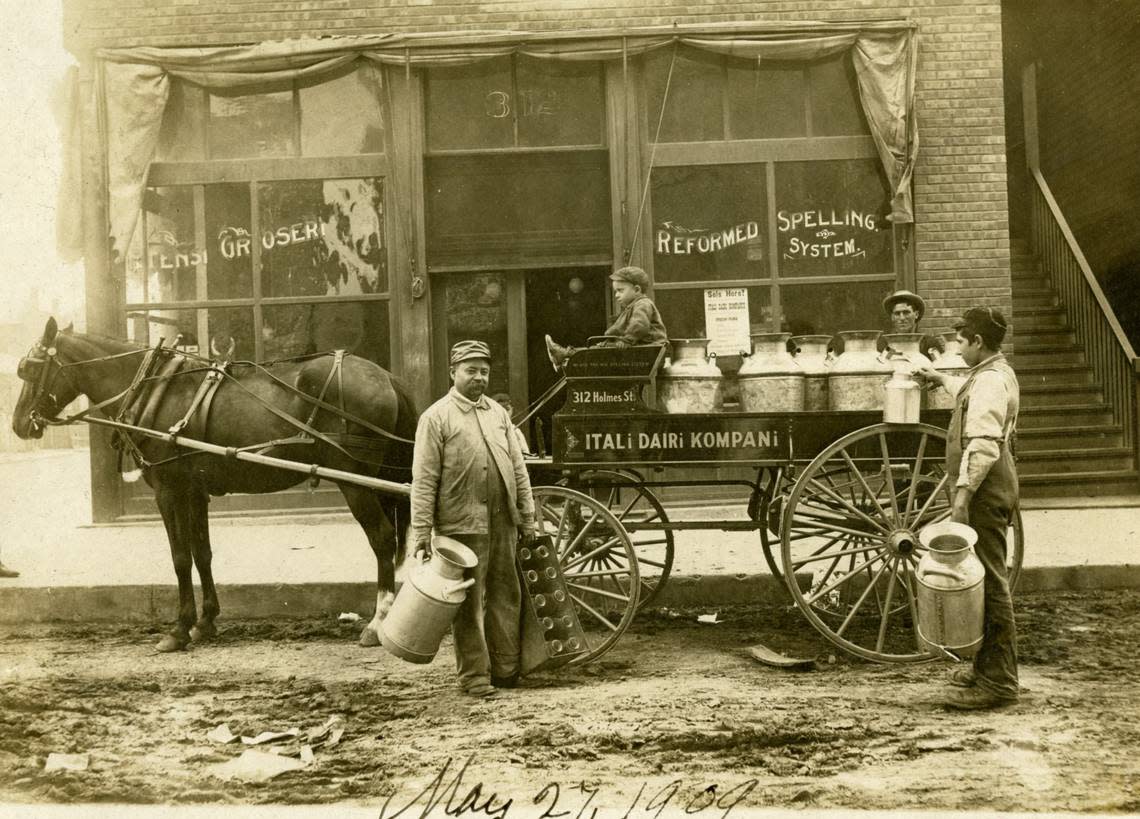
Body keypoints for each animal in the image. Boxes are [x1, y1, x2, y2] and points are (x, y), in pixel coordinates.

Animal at [12, 319, 419, 652]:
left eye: (29, 369)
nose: (17, 425)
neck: (152, 388)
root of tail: (387, 377)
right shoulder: (195, 492)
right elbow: (201, 554)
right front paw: (205, 622)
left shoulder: (168, 491)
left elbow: (179, 557)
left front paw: (178, 630)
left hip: (356, 483)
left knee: (383, 539)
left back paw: (377, 623)